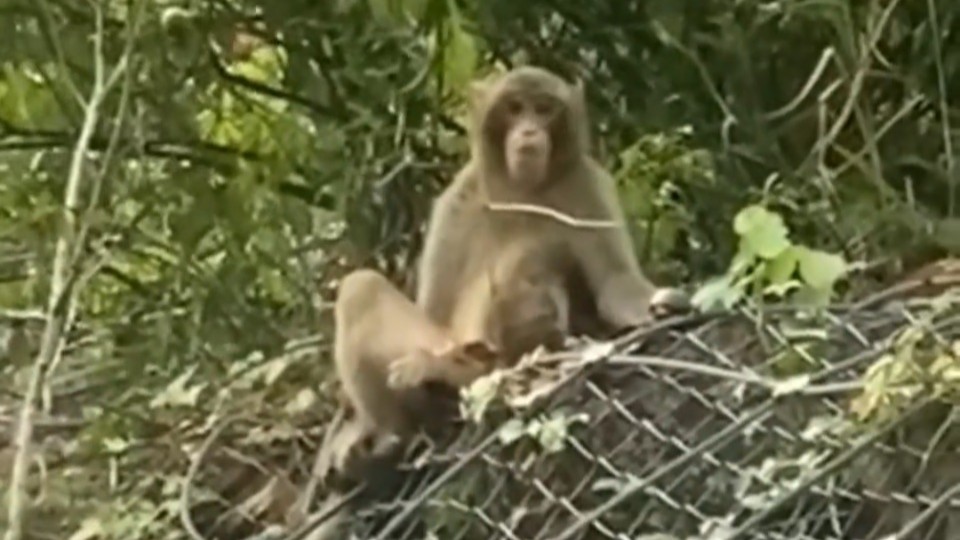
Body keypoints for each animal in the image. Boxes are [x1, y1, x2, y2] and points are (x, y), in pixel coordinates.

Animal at [416, 66, 684, 355]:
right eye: (515, 108)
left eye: (543, 109)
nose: (529, 131)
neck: (525, 191)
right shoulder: (459, 204)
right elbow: (435, 317)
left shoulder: (589, 187)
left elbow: (616, 284)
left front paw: (662, 303)